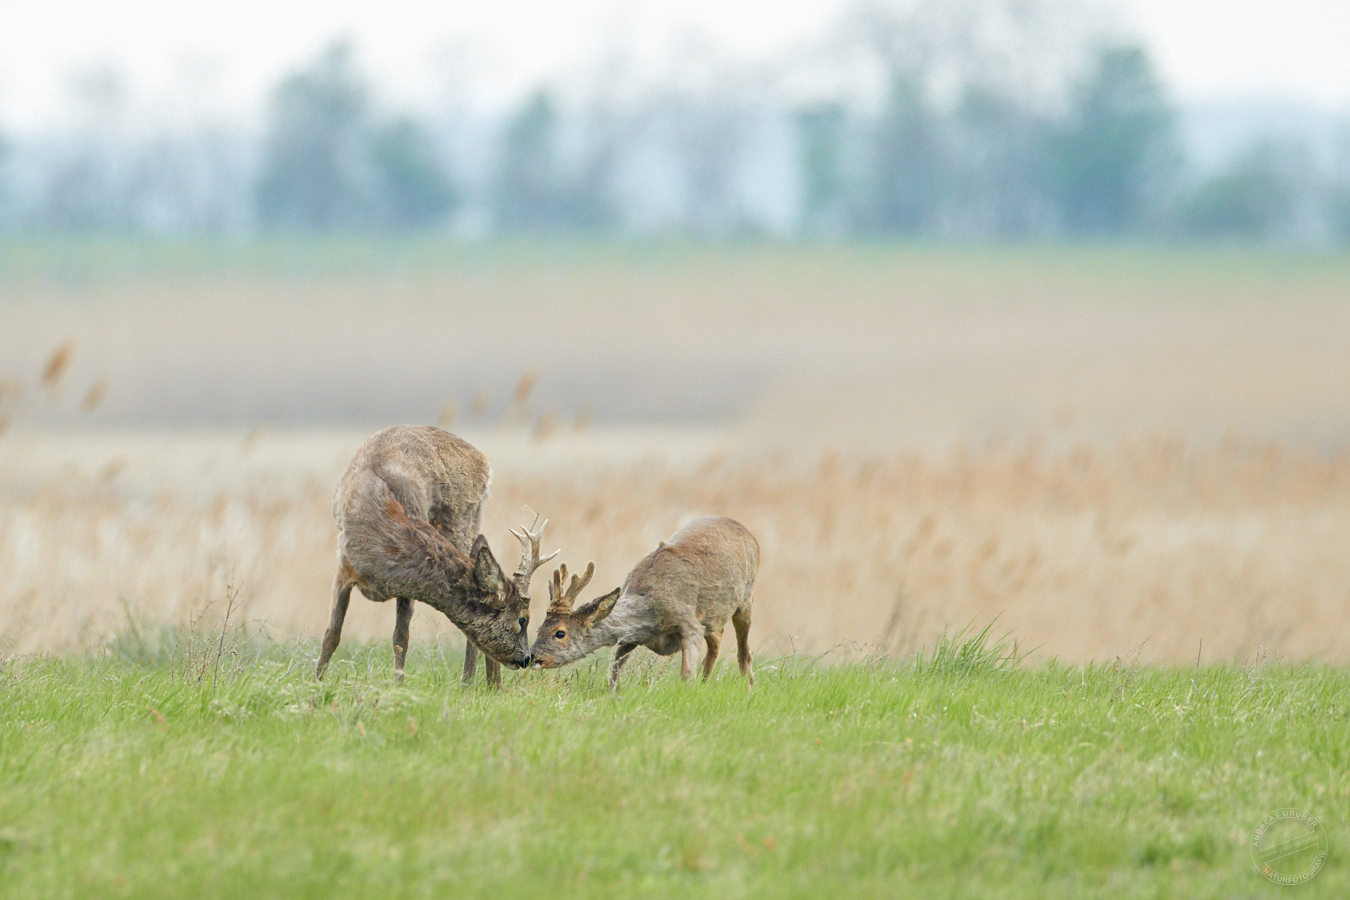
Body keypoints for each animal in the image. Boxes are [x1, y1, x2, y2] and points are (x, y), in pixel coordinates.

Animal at [313, 426, 556, 685]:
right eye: (522, 619)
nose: (526, 658)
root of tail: (484, 461)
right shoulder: (344, 568)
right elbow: (332, 635)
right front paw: (316, 681)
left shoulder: (404, 588)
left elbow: (400, 639)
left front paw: (398, 686)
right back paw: (482, 684)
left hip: (463, 520)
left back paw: (477, 684)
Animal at [526, 518, 761, 685]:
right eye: (539, 628)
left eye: (560, 633)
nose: (531, 657)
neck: (650, 611)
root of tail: (749, 534)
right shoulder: (631, 637)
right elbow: (614, 672)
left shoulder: (689, 623)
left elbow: (687, 675)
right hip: (713, 616)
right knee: (718, 639)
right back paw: (706, 684)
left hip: (746, 599)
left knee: (744, 652)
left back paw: (747, 688)